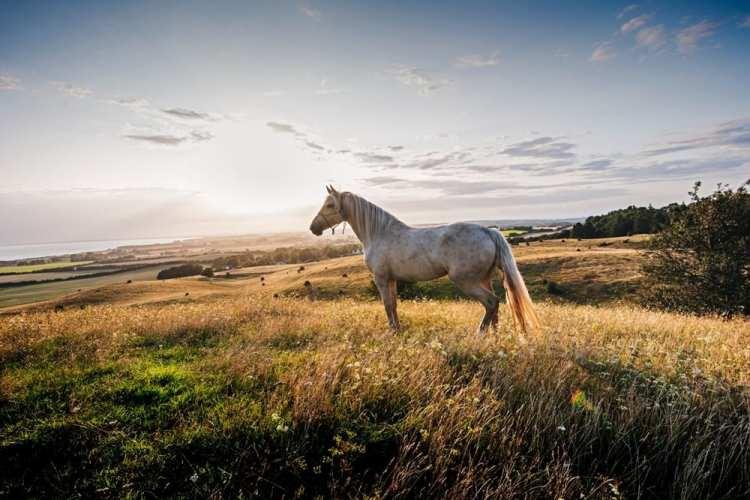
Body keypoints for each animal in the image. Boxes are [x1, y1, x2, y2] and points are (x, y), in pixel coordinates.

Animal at [310, 186, 540, 334]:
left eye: (330, 205)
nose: (313, 228)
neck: (379, 232)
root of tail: (488, 231)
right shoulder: (391, 279)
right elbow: (394, 305)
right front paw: (397, 331)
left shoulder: (381, 279)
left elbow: (387, 305)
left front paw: (391, 332)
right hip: (484, 279)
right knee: (494, 308)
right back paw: (494, 337)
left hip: (466, 281)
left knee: (491, 303)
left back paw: (479, 335)